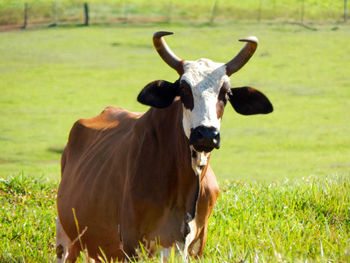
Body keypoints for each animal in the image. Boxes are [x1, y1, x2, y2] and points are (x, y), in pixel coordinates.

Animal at [55, 30, 274, 262]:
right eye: (184, 90)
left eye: (226, 93)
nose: (206, 134)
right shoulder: (132, 243)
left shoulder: (195, 246)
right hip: (66, 240)